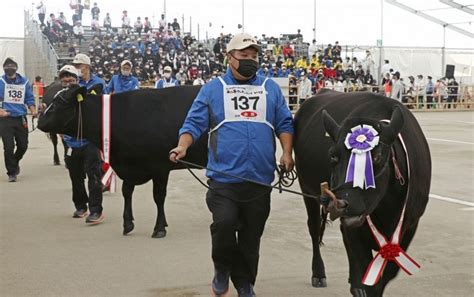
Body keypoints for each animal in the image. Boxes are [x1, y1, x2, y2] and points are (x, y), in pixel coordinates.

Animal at [37, 84, 207, 237]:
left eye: (60, 103)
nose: (39, 121)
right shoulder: (128, 164)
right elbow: (127, 192)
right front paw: (128, 224)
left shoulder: (160, 167)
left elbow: (158, 197)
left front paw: (159, 228)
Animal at [294, 88, 432, 296]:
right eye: (333, 155)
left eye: (377, 157)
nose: (341, 203)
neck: (387, 209)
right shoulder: (355, 229)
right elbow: (364, 278)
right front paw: (358, 286)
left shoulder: (410, 223)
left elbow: (386, 275)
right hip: (306, 186)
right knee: (314, 227)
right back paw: (319, 273)